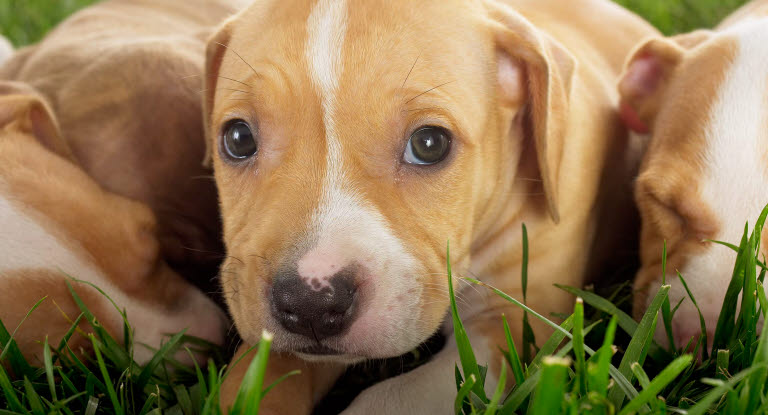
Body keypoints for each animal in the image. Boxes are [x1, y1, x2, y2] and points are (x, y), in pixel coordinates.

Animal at [206, 0, 660, 412]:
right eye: (238, 139)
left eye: (429, 144)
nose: (311, 305)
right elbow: (257, 383)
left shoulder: (515, 320)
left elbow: (392, 399)